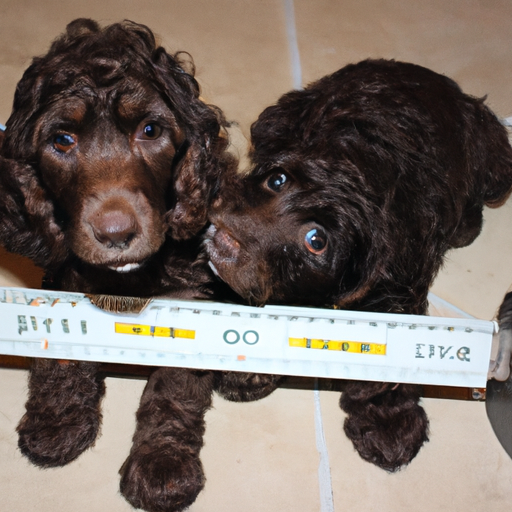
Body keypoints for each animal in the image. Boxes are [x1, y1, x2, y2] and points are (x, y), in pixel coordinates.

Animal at [0, 18, 280, 510]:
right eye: (62, 140)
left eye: (150, 130)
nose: (116, 235)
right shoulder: (65, 276)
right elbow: (63, 356)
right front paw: (57, 420)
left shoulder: (189, 299)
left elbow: (171, 390)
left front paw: (162, 464)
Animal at [206, 59, 512, 472]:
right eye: (277, 179)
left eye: (316, 240)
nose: (226, 236)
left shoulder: (395, 288)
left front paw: (387, 423)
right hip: (275, 119)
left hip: (495, 165)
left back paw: (466, 225)